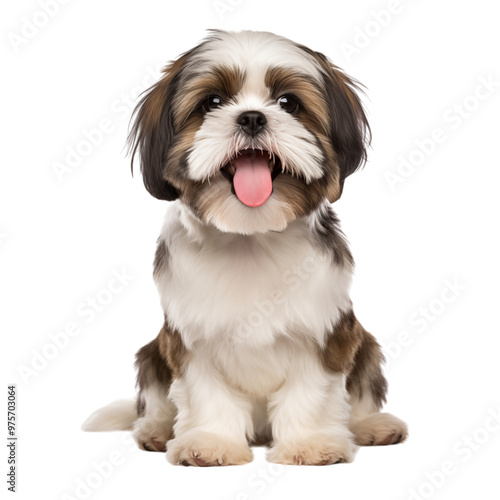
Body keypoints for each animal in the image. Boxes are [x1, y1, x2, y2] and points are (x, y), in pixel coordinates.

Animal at [82, 29, 408, 466]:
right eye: (212, 102)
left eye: (288, 103)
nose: (252, 117)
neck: (250, 236)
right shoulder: (190, 338)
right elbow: (207, 394)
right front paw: (210, 443)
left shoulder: (324, 331)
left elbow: (311, 393)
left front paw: (309, 444)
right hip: (153, 352)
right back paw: (157, 429)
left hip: (365, 342)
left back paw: (370, 425)